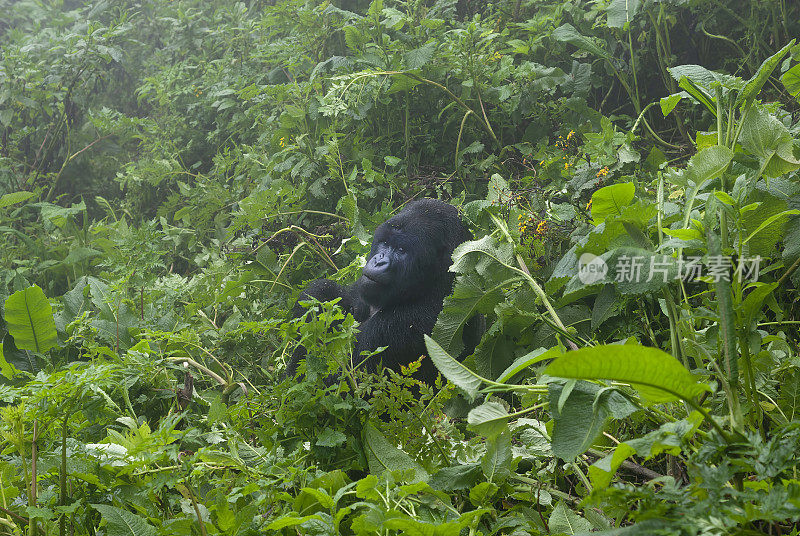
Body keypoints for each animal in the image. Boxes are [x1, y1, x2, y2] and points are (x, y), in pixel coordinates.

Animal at [288, 199, 478, 384]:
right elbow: (326, 292)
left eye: (401, 250)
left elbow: (335, 379)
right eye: (385, 243)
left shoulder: (404, 325)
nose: (379, 261)